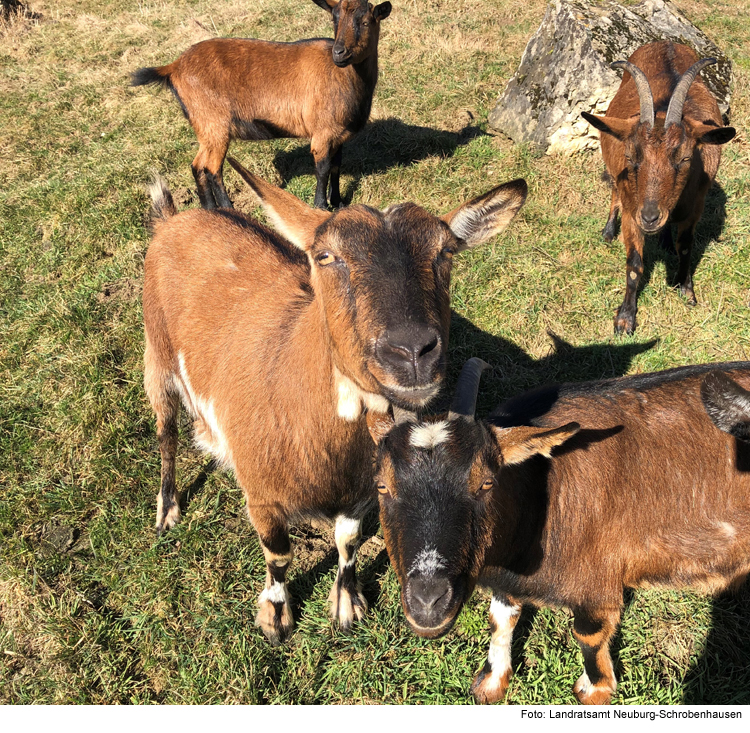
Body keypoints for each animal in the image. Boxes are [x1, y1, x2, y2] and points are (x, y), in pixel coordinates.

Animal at [131, 0, 394, 212]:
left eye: (366, 21)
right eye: (334, 19)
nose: (339, 53)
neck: (342, 76)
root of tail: (173, 67)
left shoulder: (339, 134)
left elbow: (336, 167)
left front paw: (338, 202)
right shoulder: (322, 133)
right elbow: (322, 169)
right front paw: (321, 206)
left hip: (205, 128)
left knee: (198, 166)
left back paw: (210, 209)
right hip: (215, 123)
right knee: (212, 168)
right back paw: (229, 209)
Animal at [142, 159, 528, 640]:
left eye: (446, 253)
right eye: (325, 256)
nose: (411, 351)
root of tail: (172, 220)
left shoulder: (361, 491)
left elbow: (347, 540)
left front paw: (347, 603)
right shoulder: (262, 494)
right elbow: (279, 555)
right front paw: (275, 615)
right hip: (157, 357)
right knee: (165, 433)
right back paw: (167, 509)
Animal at [370, 360, 750, 704]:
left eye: (486, 483)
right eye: (381, 486)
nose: (428, 603)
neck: (540, 495)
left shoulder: (596, 582)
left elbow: (588, 635)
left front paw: (595, 690)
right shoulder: (508, 575)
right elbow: (500, 618)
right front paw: (492, 682)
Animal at [584, 41, 736, 334]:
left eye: (686, 158)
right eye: (631, 156)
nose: (650, 217)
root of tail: (665, 42)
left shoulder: (695, 208)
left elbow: (685, 246)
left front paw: (686, 290)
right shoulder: (632, 211)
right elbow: (634, 264)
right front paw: (625, 319)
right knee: (614, 189)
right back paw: (608, 231)